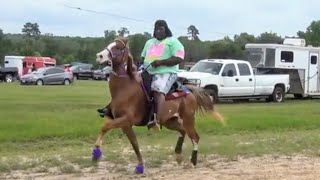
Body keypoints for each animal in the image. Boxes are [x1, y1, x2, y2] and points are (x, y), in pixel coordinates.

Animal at [94, 37, 221, 174]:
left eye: (117, 47)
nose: (99, 56)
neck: (125, 87)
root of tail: (188, 90)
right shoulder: (125, 124)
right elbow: (134, 144)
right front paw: (140, 166)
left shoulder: (126, 119)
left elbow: (105, 127)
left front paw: (96, 153)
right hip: (170, 121)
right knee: (182, 131)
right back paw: (178, 156)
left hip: (188, 119)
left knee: (195, 137)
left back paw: (192, 162)